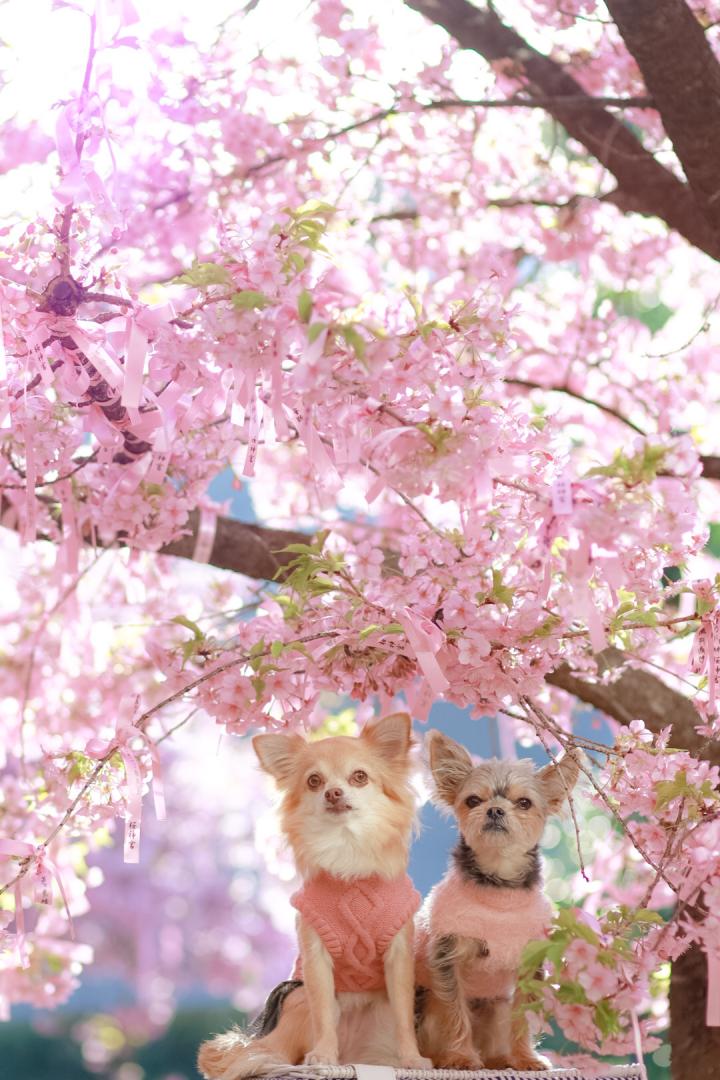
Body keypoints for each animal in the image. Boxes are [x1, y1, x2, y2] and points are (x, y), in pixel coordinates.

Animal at [197, 712, 431, 1075]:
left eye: (360, 777)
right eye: (313, 781)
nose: (333, 792)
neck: (347, 854)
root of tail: (353, 1054)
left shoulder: (399, 958)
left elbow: (405, 1014)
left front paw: (412, 1059)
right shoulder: (315, 960)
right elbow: (322, 1012)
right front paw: (322, 1055)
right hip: (295, 1002)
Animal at [416, 734, 578, 1071]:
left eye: (524, 803)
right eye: (473, 801)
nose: (494, 811)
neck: (499, 888)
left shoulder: (529, 967)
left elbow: (524, 1016)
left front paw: (526, 1059)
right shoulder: (448, 961)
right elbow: (455, 1012)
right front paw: (462, 1057)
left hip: (496, 1007)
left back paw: (503, 1058)